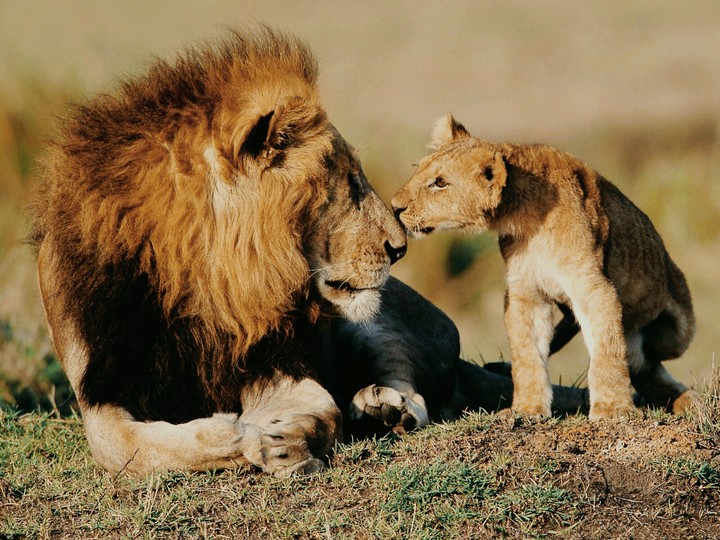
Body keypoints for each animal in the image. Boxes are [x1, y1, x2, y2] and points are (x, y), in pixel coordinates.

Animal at [392, 114, 697, 420]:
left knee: (647, 360)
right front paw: (527, 408)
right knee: (640, 364)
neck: (524, 218)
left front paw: (612, 408)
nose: (395, 207)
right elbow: (528, 354)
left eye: (440, 183)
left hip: (678, 332)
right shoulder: (526, 292)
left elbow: (607, 349)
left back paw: (686, 399)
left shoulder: (593, 287)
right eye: (419, 170)